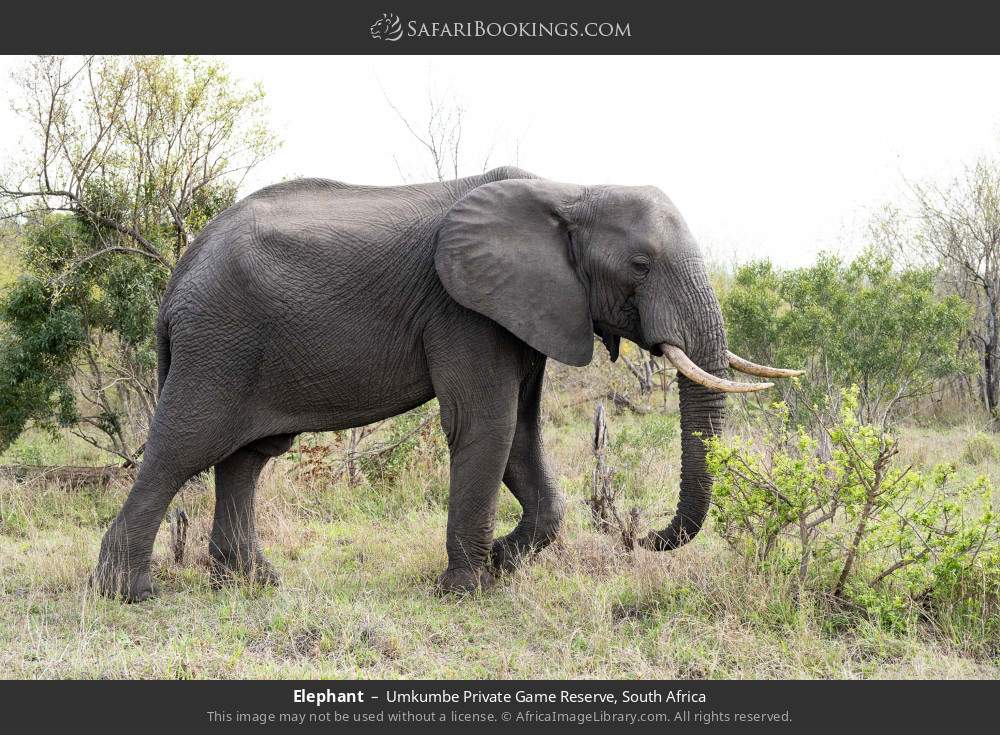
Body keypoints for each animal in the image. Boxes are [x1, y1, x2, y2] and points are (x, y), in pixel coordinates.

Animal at [93, 166, 800, 601]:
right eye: (641, 264)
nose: (643, 537)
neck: (571, 189)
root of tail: (177, 278)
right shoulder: (463, 308)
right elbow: (486, 425)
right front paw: (469, 590)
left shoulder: (523, 310)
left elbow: (520, 434)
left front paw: (506, 562)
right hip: (219, 341)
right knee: (184, 446)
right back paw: (129, 595)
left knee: (248, 456)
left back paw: (255, 584)